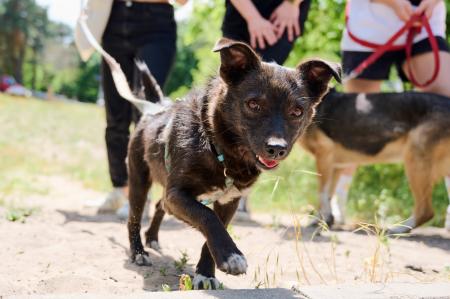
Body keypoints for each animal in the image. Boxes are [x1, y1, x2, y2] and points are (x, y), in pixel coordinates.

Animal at [125, 38, 340, 290]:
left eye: (297, 111)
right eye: (253, 104)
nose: (277, 148)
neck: (219, 149)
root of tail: (153, 109)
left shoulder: (229, 201)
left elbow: (214, 227)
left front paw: (206, 274)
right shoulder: (177, 194)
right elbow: (207, 216)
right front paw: (231, 256)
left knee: (160, 205)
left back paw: (152, 238)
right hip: (139, 181)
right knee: (135, 217)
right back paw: (138, 251)